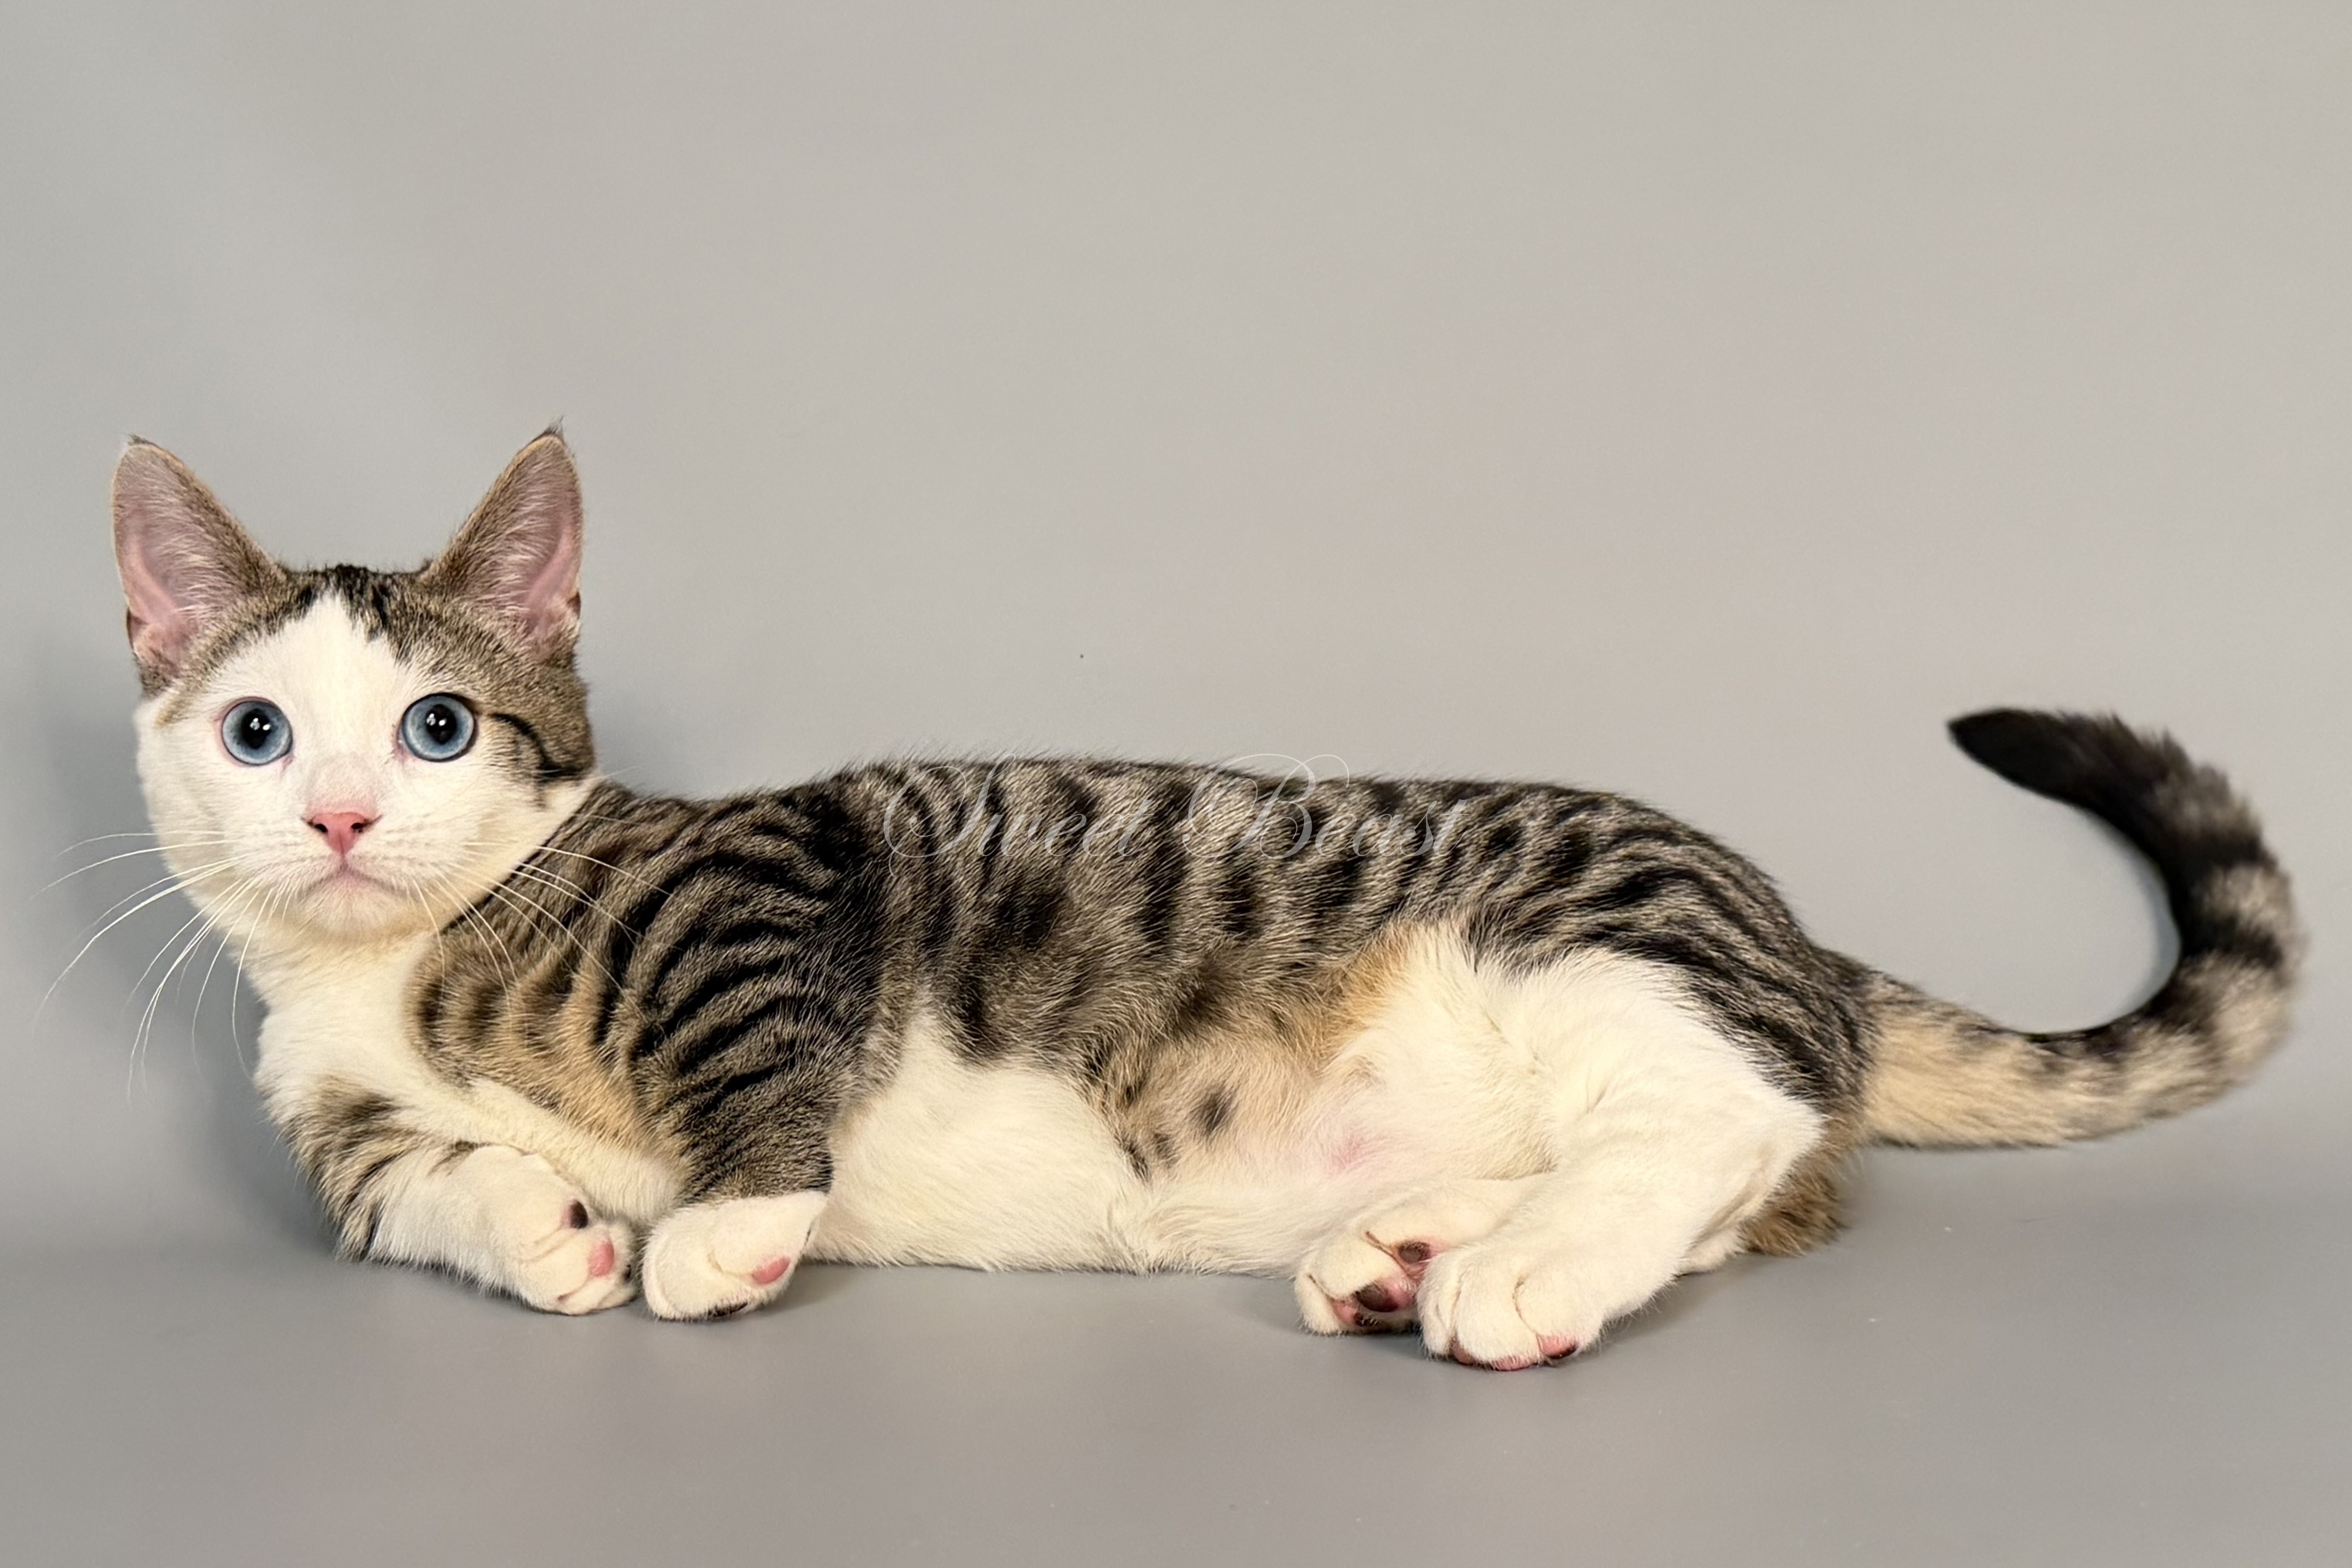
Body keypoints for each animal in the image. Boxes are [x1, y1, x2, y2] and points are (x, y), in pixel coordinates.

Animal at [107, 430, 2300, 1366]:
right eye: (255, 731)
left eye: (442, 727)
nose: (338, 817)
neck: (392, 968)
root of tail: (1796, 933)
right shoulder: (335, 1128)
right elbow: (418, 1192)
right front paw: (545, 1231)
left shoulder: (758, 889)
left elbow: (754, 1065)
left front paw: (715, 1231)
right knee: (1757, 1181)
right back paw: (1410, 1247)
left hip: (1582, 945)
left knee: (1730, 1119)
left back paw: (1510, 1276)